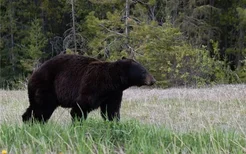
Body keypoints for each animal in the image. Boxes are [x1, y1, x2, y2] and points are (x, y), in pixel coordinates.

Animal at [21, 54, 156, 122]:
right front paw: (78, 123)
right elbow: (81, 106)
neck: (112, 81)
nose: (153, 80)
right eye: (144, 71)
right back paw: (36, 123)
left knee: (34, 107)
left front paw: (114, 123)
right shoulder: (93, 85)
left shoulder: (114, 93)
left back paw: (27, 121)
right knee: (42, 108)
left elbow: (111, 110)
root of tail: (33, 75)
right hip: (46, 86)